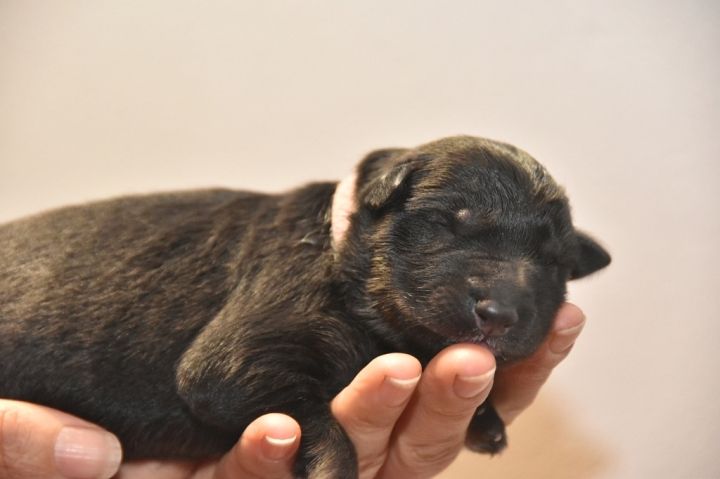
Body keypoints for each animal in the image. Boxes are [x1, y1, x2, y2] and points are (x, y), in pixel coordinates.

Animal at [0, 136, 610, 478]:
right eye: (448, 222)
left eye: (554, 262)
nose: (501, 314)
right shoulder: (239, 354)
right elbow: (313, 414)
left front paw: (485, 417)